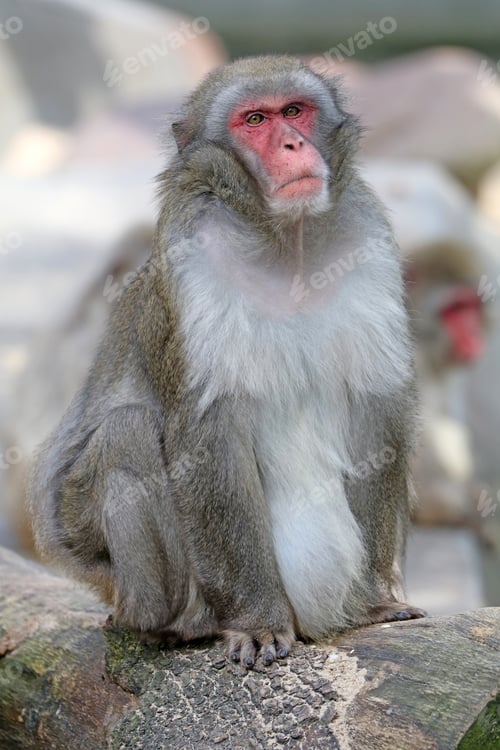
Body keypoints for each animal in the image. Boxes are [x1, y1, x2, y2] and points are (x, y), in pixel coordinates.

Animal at [30, 55, 425, 669]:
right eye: (254, 120)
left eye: (295, 111)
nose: (291, 144)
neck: (286, 242)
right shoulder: (195, 255)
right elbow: (207, 433)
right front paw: (257, 621)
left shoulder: (368, 236)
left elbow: (376, 413)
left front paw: (375, 603)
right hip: (97, 551)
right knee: (127, 431)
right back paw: (172, 627)